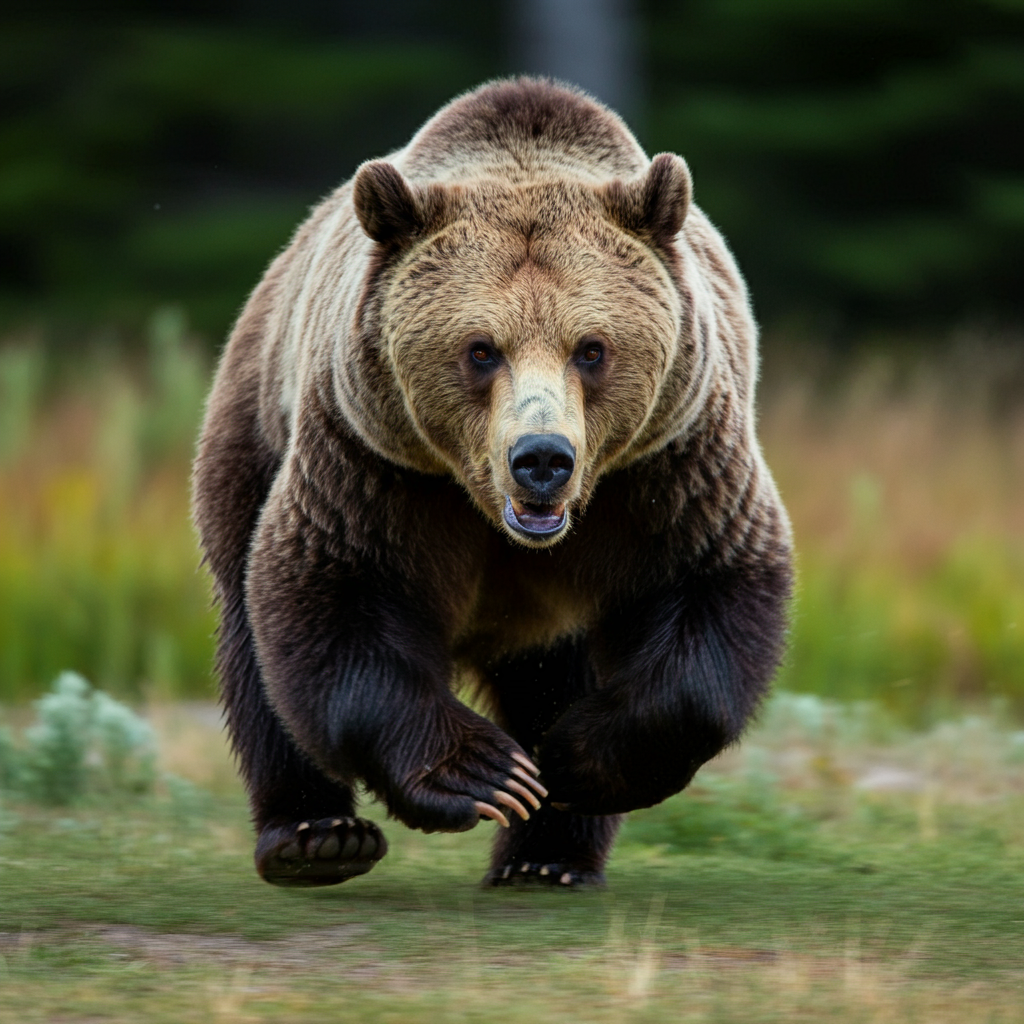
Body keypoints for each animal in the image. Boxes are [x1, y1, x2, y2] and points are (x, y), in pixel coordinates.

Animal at [195, 77, 794, 888]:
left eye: (591, 348)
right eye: (481, 349)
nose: (541, 456)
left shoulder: (668, 467)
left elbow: (710, 591)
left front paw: (571, 759)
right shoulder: (375, 464)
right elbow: (339, 596)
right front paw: (483, 772)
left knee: (559, 668)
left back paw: (548, 858)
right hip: (252, 431)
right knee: (251, 644)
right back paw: (316, 837)